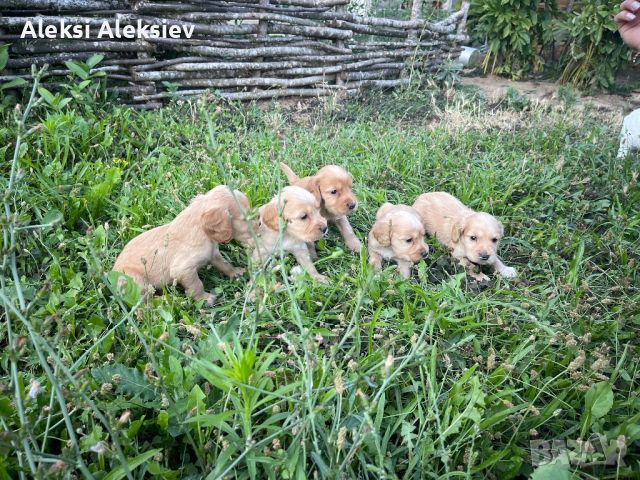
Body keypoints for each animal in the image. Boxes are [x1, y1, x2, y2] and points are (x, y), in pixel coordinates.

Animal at [112, 186, 255, 306]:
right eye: (245, 219)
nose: (258, 225)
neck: (200, 229)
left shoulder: (212, 253)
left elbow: (224, 264)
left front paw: (236, 272)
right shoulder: (183, 269)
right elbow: (197, 285)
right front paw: (205, 299)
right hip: (135, 281)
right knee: (144, 304)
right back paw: (163, 301)